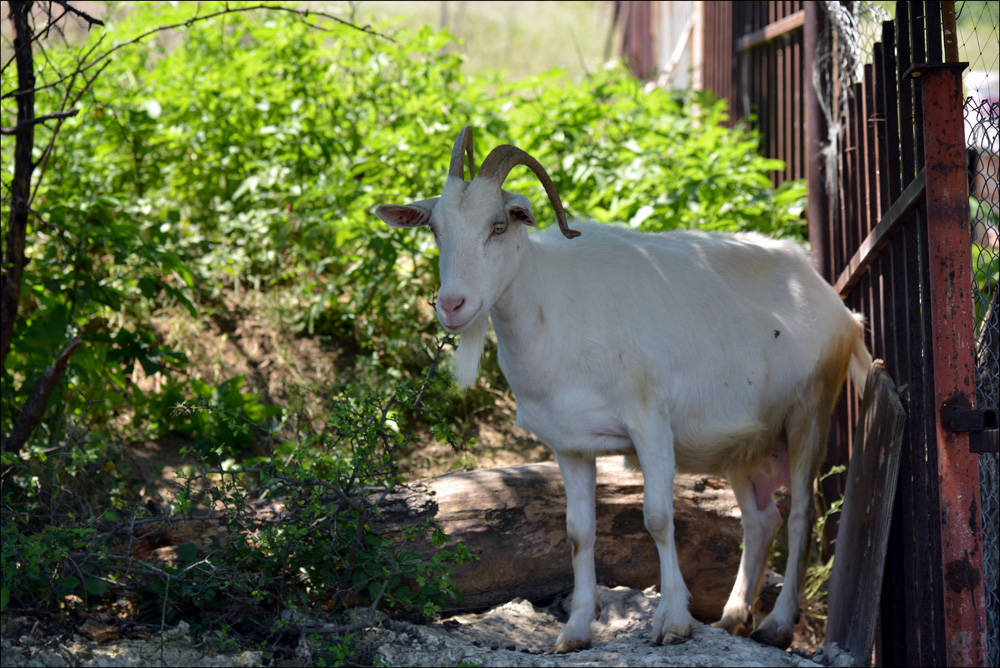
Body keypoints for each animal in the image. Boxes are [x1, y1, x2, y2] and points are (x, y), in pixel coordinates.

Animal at [378, 128, 872, 648]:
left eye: (498, 225)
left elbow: (657, 518)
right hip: (746, 442)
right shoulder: (571, 444)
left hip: (809, 411)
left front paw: (672, 622)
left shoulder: (649, 421)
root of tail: (840, 308)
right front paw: (575, 630)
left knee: (799, 514)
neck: (555, 308)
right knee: (761, 521)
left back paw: (776, 624)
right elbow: (578, 532)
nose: (452, 305)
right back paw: (732, 618)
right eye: (435, 229)